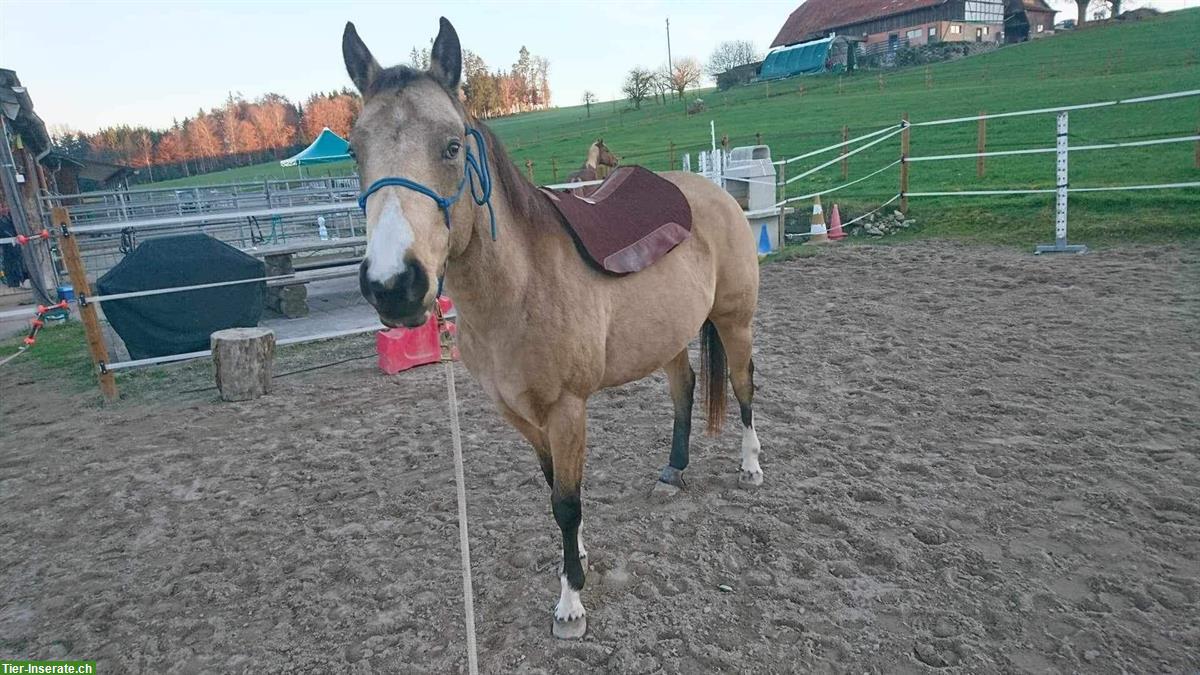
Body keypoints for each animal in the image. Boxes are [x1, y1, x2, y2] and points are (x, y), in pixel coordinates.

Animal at [345, 15, 758, 634]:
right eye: (354, 152)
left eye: (451, 146)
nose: (393, 284)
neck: (520, 288)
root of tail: (717, 193)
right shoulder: (519, 413)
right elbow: (556, 491)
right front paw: (577, 555)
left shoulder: (567, 409)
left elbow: (567, 500)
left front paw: (571, 601)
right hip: (667, 337)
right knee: (685, 391)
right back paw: (672, 472)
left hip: (735, 321)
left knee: (743, 385)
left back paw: (752, 466)